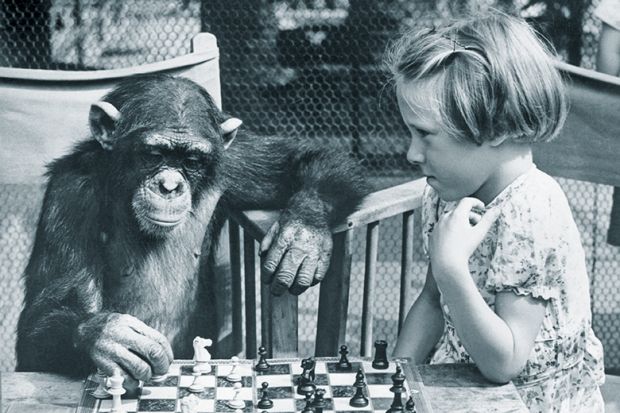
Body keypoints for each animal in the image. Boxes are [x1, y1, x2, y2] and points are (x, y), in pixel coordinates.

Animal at [15, 73, 368, 384]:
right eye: (153, 154)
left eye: (192, 161)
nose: (169, 186)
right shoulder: (70, 195)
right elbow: (48, 311)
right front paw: (107, 336)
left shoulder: (235, 160)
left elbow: (307, 157)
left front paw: (301, 235)